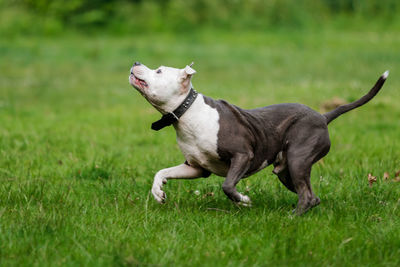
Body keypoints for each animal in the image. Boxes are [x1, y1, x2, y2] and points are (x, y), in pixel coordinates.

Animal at [130, 61, 390, 216]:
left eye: (159, 71)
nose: (135, 63)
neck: (186, 112)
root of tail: (323, 116)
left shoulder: (243, 155)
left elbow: (227, 185)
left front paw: (243, 200)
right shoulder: (196, 167)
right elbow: (161, 172)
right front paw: (158, 192)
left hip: (298, 158)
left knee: (307, 195)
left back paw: (292, 218)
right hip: (287, 171)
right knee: (311, 196)